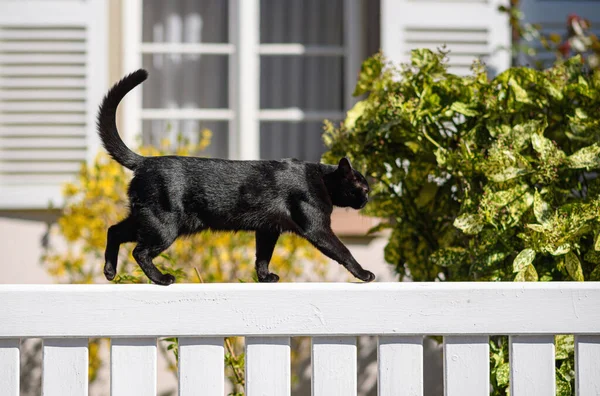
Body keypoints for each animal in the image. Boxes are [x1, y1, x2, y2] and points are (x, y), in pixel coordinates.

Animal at [96, 69, 372, 284]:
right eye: (364, 189)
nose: (367, 200)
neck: (321, 179)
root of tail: (145, 161)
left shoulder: (268, 229)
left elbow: (262, 256)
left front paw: (265, 277)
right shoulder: (318, 228)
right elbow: (343, 251)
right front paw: (364, 273)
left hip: (144, 219)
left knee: (113, 231)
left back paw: (109, 272)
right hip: (164, 225)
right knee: (140, 252)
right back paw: (161, 278)